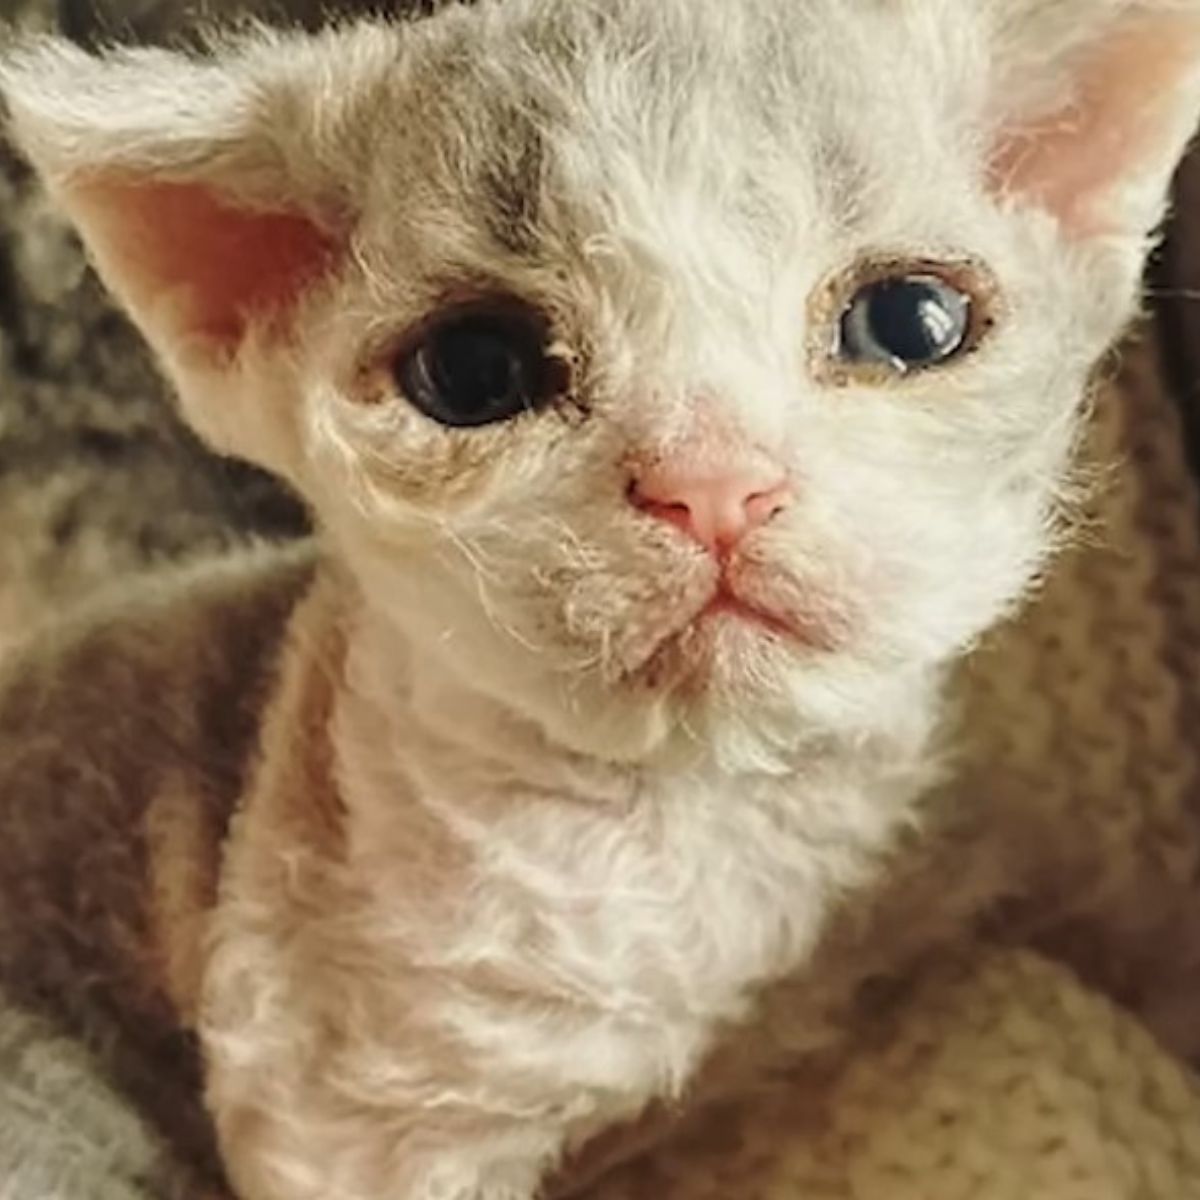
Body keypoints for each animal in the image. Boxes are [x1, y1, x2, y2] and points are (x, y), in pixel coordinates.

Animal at [2, 2, 1200, 1200]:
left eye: (910, 323)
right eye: (473, 370)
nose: (713, 483)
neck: (706, 835)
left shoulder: (949, 846)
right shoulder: (340, 1122)